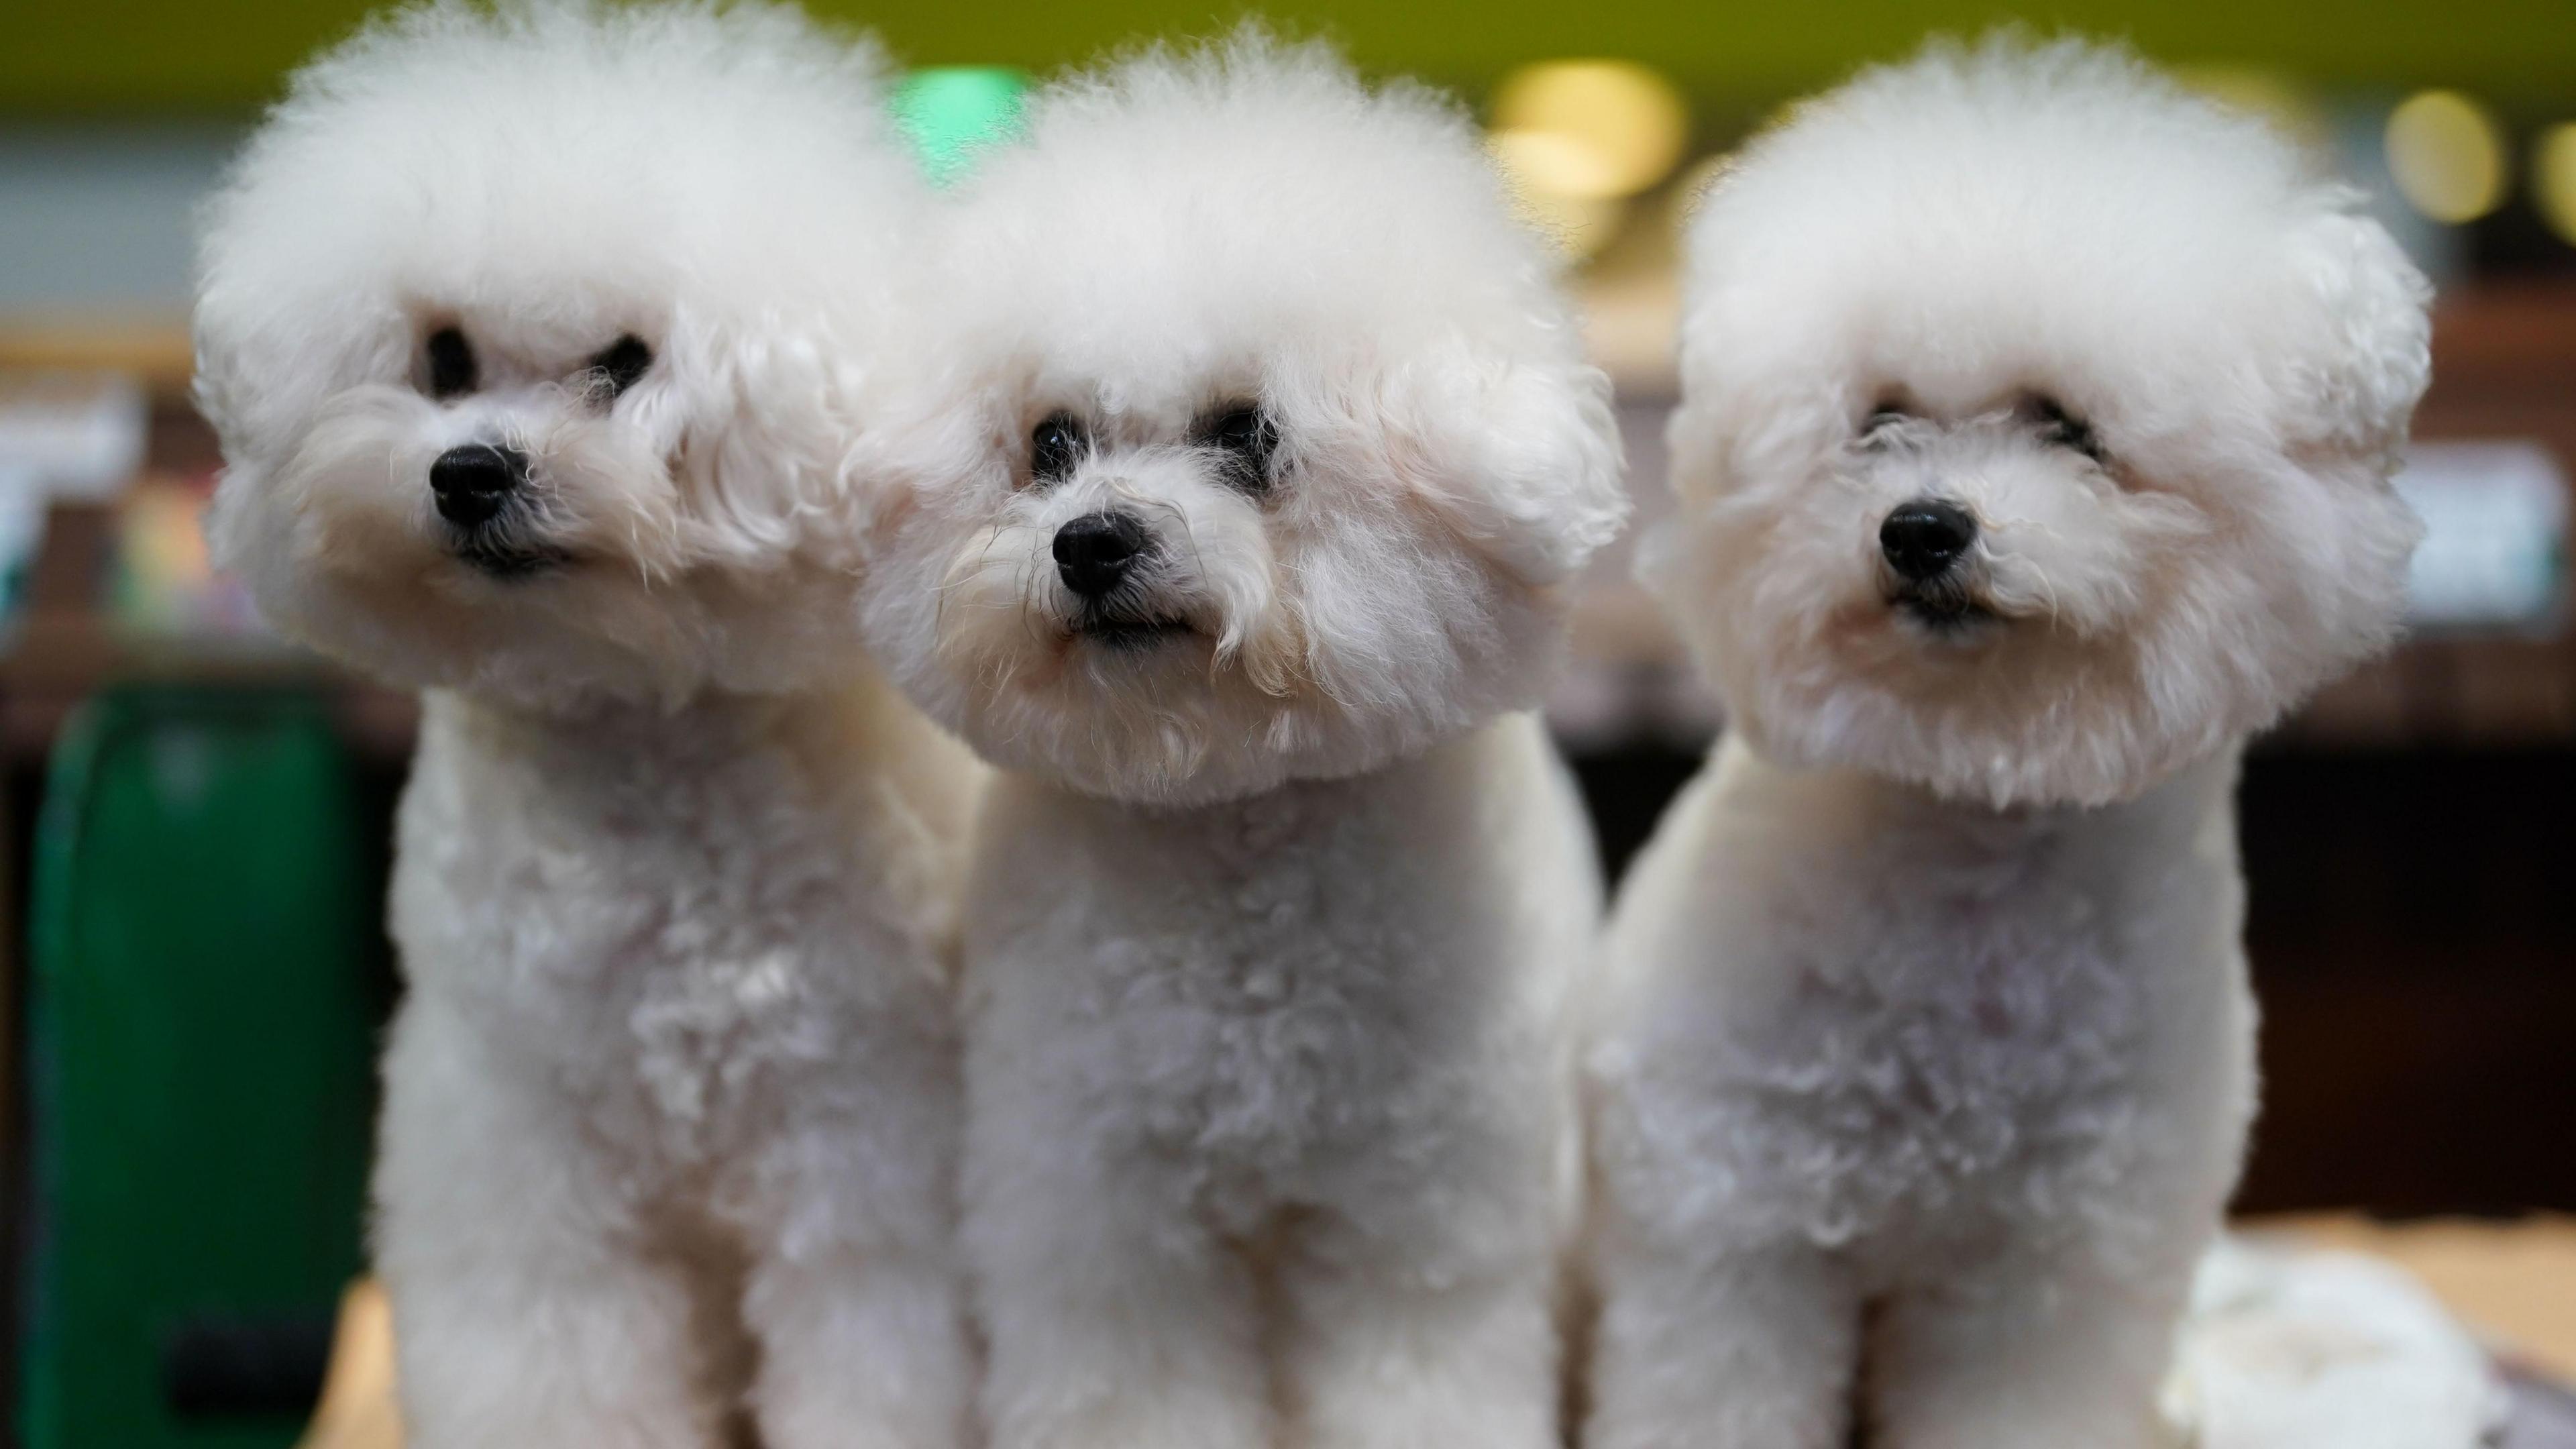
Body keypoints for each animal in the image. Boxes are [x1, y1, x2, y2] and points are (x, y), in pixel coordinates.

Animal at [195, 5, 979, 1433]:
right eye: (444, 357)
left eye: (623, 365)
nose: (468, 473)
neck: (635, 741)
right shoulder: (521, 1160)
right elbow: (553, 1362)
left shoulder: (859, 1140)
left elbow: (873, 1351)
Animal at [865, 34, 1627, 1444]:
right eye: (1051, 443)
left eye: (1249, 434)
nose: (1092, 541)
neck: (1238, 830)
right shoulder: (1103, 1214)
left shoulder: (1419, 1219)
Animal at [1587, 34, 2431, 1444]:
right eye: (1878, 422)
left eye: (2067, 428)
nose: (1921, 529)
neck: (1973, 827)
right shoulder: (1733, 1231)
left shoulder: (2047, 1279)